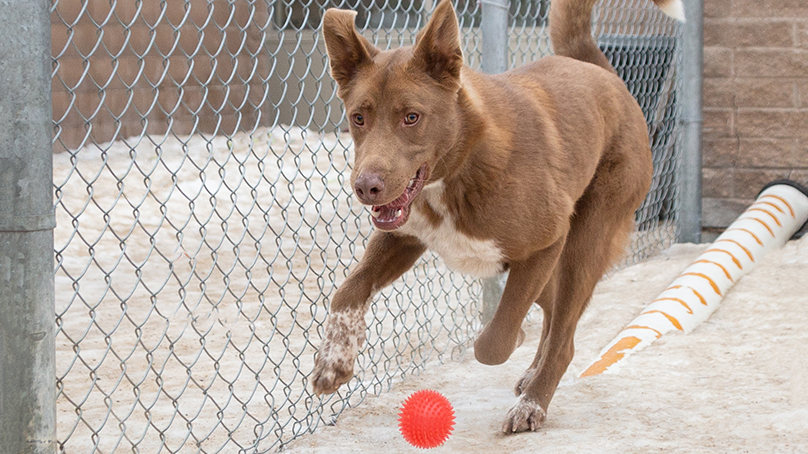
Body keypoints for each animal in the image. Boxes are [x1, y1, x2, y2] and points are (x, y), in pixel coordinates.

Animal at [312, 0, 684, 432]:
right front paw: (333, 362)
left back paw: (532, 403)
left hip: (583, 244)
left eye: (411, 117)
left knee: (564, 338)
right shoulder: (402, 238)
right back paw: (532, 375)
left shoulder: (547, 241)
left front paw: (512, 341)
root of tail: (601, 71)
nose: (365, 186)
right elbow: (347, 290)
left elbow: (493, 343)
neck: (458, 168)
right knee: (554, 318)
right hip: (550, 269)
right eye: (358, 117)